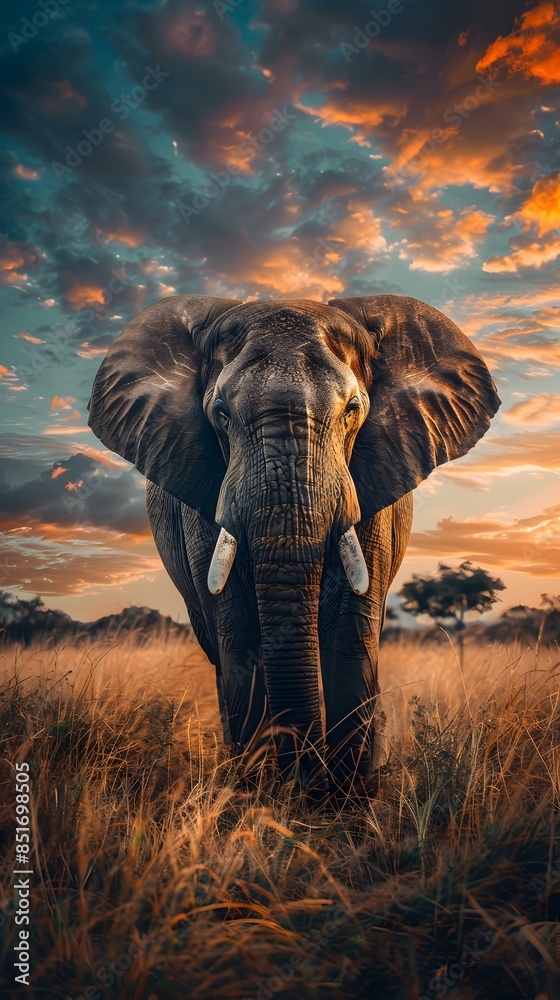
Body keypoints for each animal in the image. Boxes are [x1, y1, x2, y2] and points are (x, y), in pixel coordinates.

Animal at [87, 294, 500, 798]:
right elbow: (239, 631)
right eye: (221, 414)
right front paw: (260, 797)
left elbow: (349, 633)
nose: (306, 783)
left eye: (352, 410)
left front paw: (343, 801)